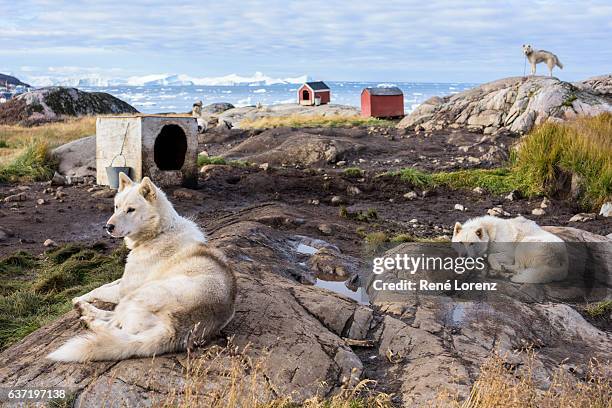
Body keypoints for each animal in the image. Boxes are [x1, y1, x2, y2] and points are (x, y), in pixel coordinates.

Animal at [47, 174, 237, 362]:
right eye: (116, 207)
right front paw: (81, 297)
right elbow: (104, 285)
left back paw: (88, 318)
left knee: (112, 326)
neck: (159, 233)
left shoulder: (124, 290)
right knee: (114, 320)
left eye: (131, 210)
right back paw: (83, 310)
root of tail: (174, 330)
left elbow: (100, 290)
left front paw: (80, 299)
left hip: (135, 296)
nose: (108, 227)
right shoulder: (123, 281)